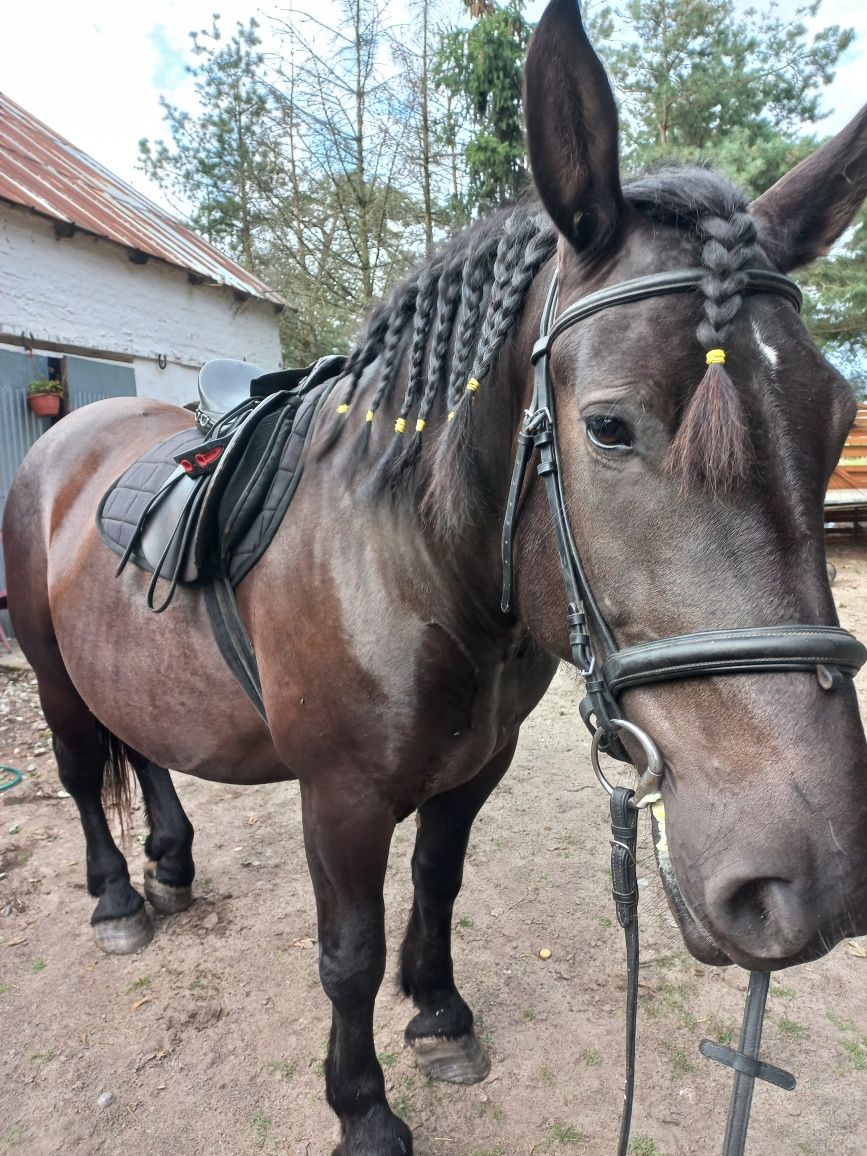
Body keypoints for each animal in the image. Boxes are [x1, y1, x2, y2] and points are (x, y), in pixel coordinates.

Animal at [5, 4, 867, 1151]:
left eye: (838, 419)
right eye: (608, 425)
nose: (817, 882)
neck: (415, 565)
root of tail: (72, 431)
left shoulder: (474, 766)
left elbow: (438, 882)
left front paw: (442, 1012)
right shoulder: (340, 795)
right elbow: (350, 953)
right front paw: (362, 1105)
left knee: (142, 743)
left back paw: (172, 861)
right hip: (51, 668)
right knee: (76, 767)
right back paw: (117, 897)